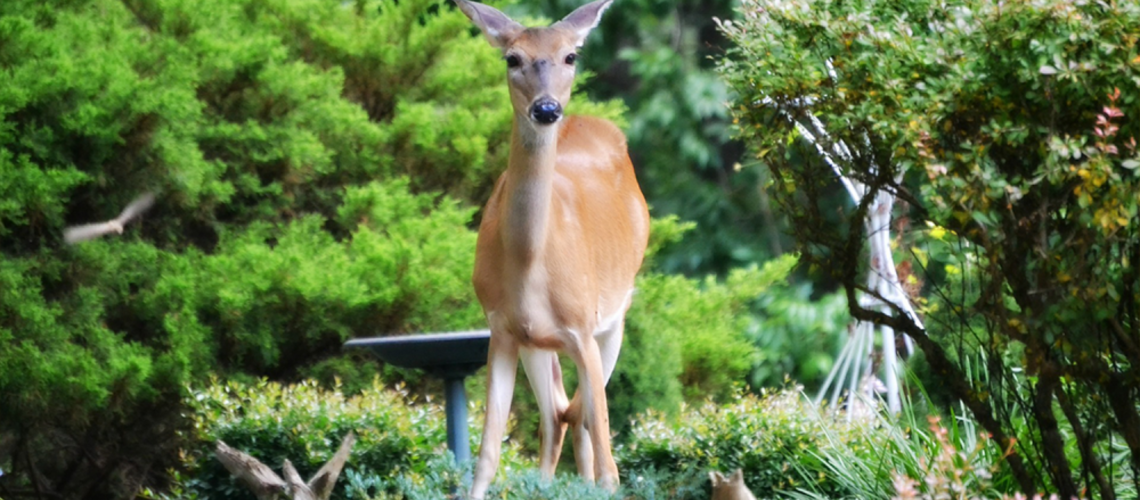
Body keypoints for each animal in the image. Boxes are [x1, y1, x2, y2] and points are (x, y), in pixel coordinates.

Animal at [455, 0, 650, 498]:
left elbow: (609, 463)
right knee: (559, 415)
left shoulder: (582, 327)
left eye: (570, 56)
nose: (546, 109)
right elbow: (487, 456)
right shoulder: (503, 330)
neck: (528, 261)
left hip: (614, 316)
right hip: (538, 343)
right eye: (512, 58)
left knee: (580, 419)